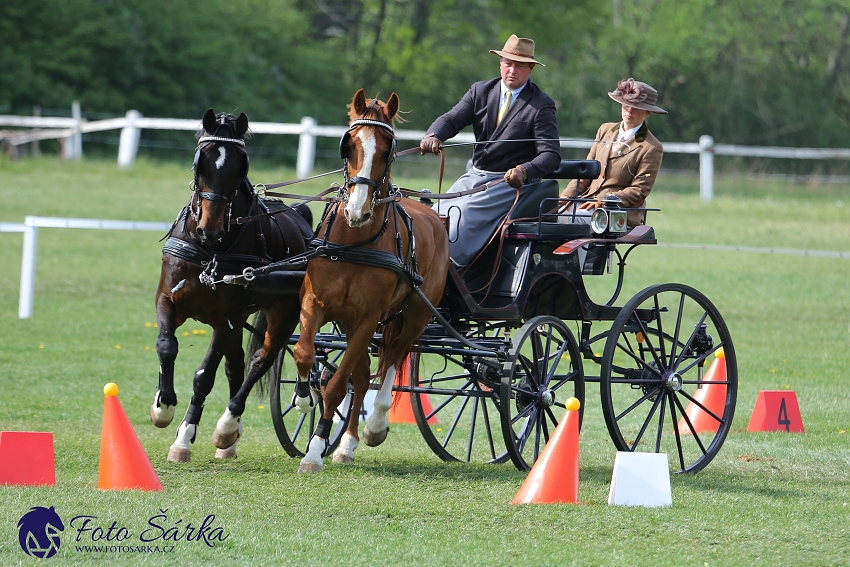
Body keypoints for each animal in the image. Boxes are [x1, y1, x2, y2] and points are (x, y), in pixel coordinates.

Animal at [152, 110, 312, 462]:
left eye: (241, 166)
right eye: (200, 162)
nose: (209, 228)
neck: (211, 251)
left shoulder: (225, 320)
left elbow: (204, 376)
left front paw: (183, 439)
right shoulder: (168, 300)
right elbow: (167, 346)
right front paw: (163, 406)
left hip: (283, 313)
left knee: (260, 361)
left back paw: (229, 425)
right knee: (236, 366)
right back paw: (231, 438)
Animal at [292, 91, 450, 474]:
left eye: (387, 149)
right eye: (348, 145)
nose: (357, 211)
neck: (355, 242)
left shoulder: (368, 318)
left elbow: (337, 386)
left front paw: (314, 452)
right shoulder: (315, 303)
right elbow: (306, 354)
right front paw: (304, 399)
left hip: (415, 315)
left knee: (394, 357)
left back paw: (376, 425)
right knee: (363, 375)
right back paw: (347, 444)